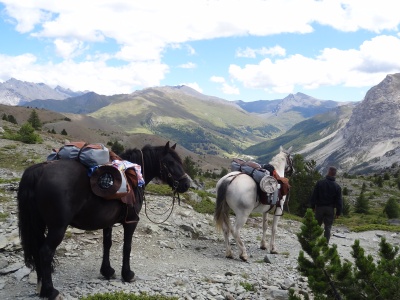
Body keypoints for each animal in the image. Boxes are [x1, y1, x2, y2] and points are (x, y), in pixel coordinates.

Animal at [18, 142, 192, 298]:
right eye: (170, 162)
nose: (186, 184)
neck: (134, 177)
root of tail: (40, 170)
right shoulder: (131, 221)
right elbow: (127, 247)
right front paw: (127, 274)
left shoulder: (108, 222)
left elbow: (107, 245)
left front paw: (107, 271)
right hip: (57, 228)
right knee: (46, 252)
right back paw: (50, 291)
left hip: (39, 224)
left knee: (37, 250)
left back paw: (41, 287)